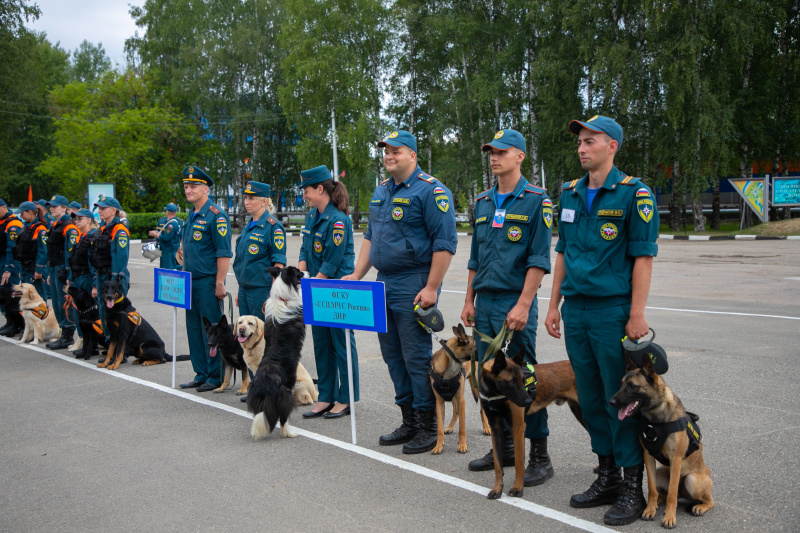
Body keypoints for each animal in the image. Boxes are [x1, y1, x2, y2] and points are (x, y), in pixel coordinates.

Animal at [247, 264, 306, 438]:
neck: (281, 297)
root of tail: (264, 387)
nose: (306, 271)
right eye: (299, 273)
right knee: (283, 418)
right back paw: (290, 433)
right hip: (286, 395)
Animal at [478, 348, 584, 496]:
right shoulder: (496, 428)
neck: (495, 393)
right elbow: (498, 464)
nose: (529, 401)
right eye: (512, 382)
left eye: (523, 380)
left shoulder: (518, 427)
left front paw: (517, 488)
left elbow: (518, 463)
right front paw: (497, 489)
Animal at [608, 354, 716, 528]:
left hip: (692, 480)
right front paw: (650, 509)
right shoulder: (648, 456)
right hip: (660, 473)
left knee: (706, 500)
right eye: (622, 384)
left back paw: (700, 507)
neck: (657, 419)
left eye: (632, 386)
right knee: (663, 493)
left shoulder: (676, 458)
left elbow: (672, 493)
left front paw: (670, 517)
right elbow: (652, 489)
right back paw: (658, 502)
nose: (611, 402)